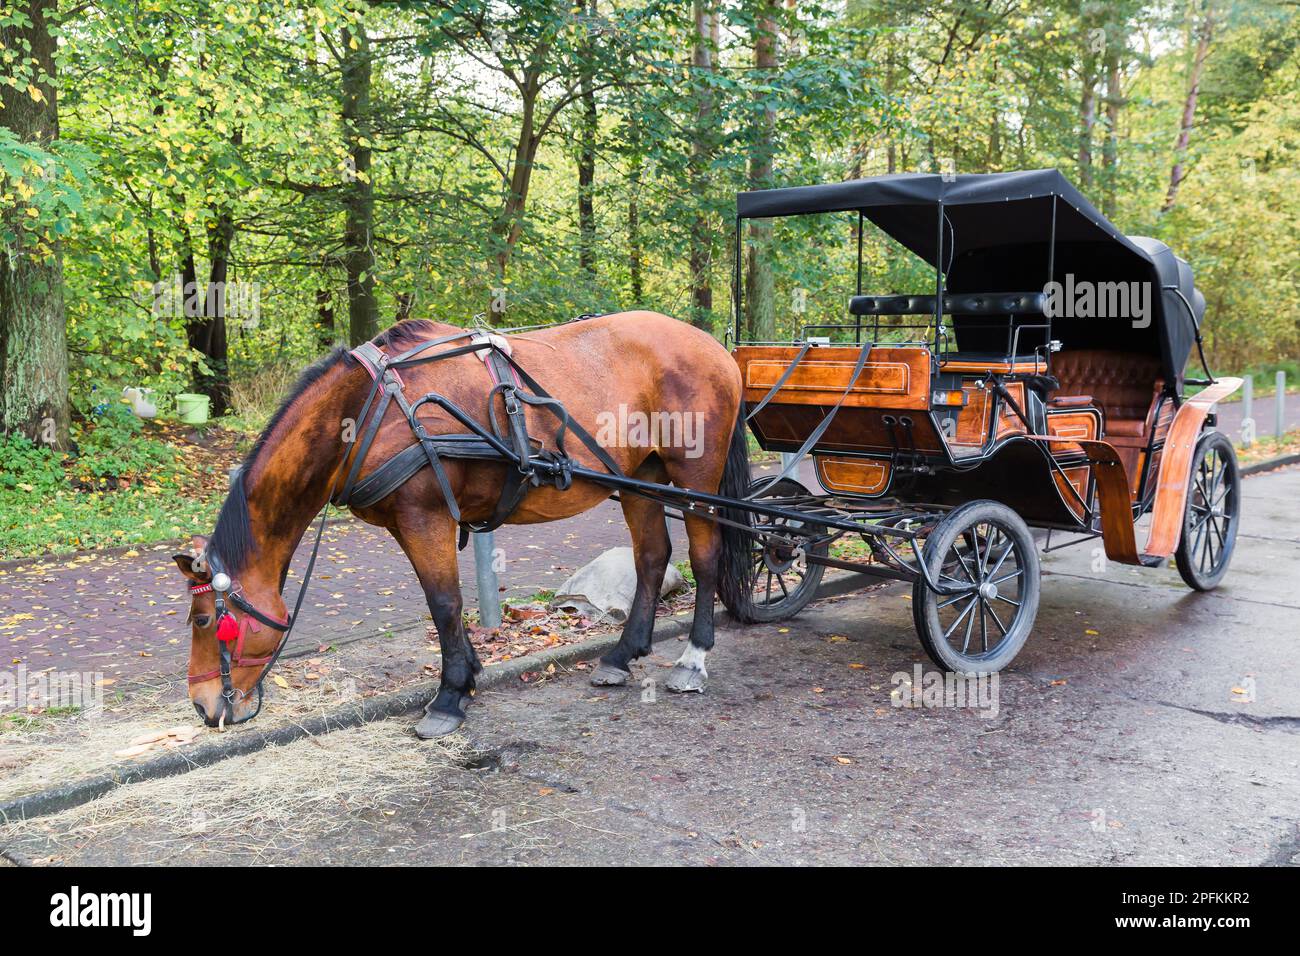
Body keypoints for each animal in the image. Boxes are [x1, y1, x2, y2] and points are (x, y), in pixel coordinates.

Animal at [173, 312, 755, 737]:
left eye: (203, 621)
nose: (203, 706)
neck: (370, 409)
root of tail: (713, 346)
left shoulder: (423, 517)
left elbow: (445, 603)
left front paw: (450, 694)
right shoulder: (411, 523)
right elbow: (443, 605)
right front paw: (469, 675)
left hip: (694, 479)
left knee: (704, 557)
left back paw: (693, 659)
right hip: (640, 476)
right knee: (652, 557)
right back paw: (622, 653)